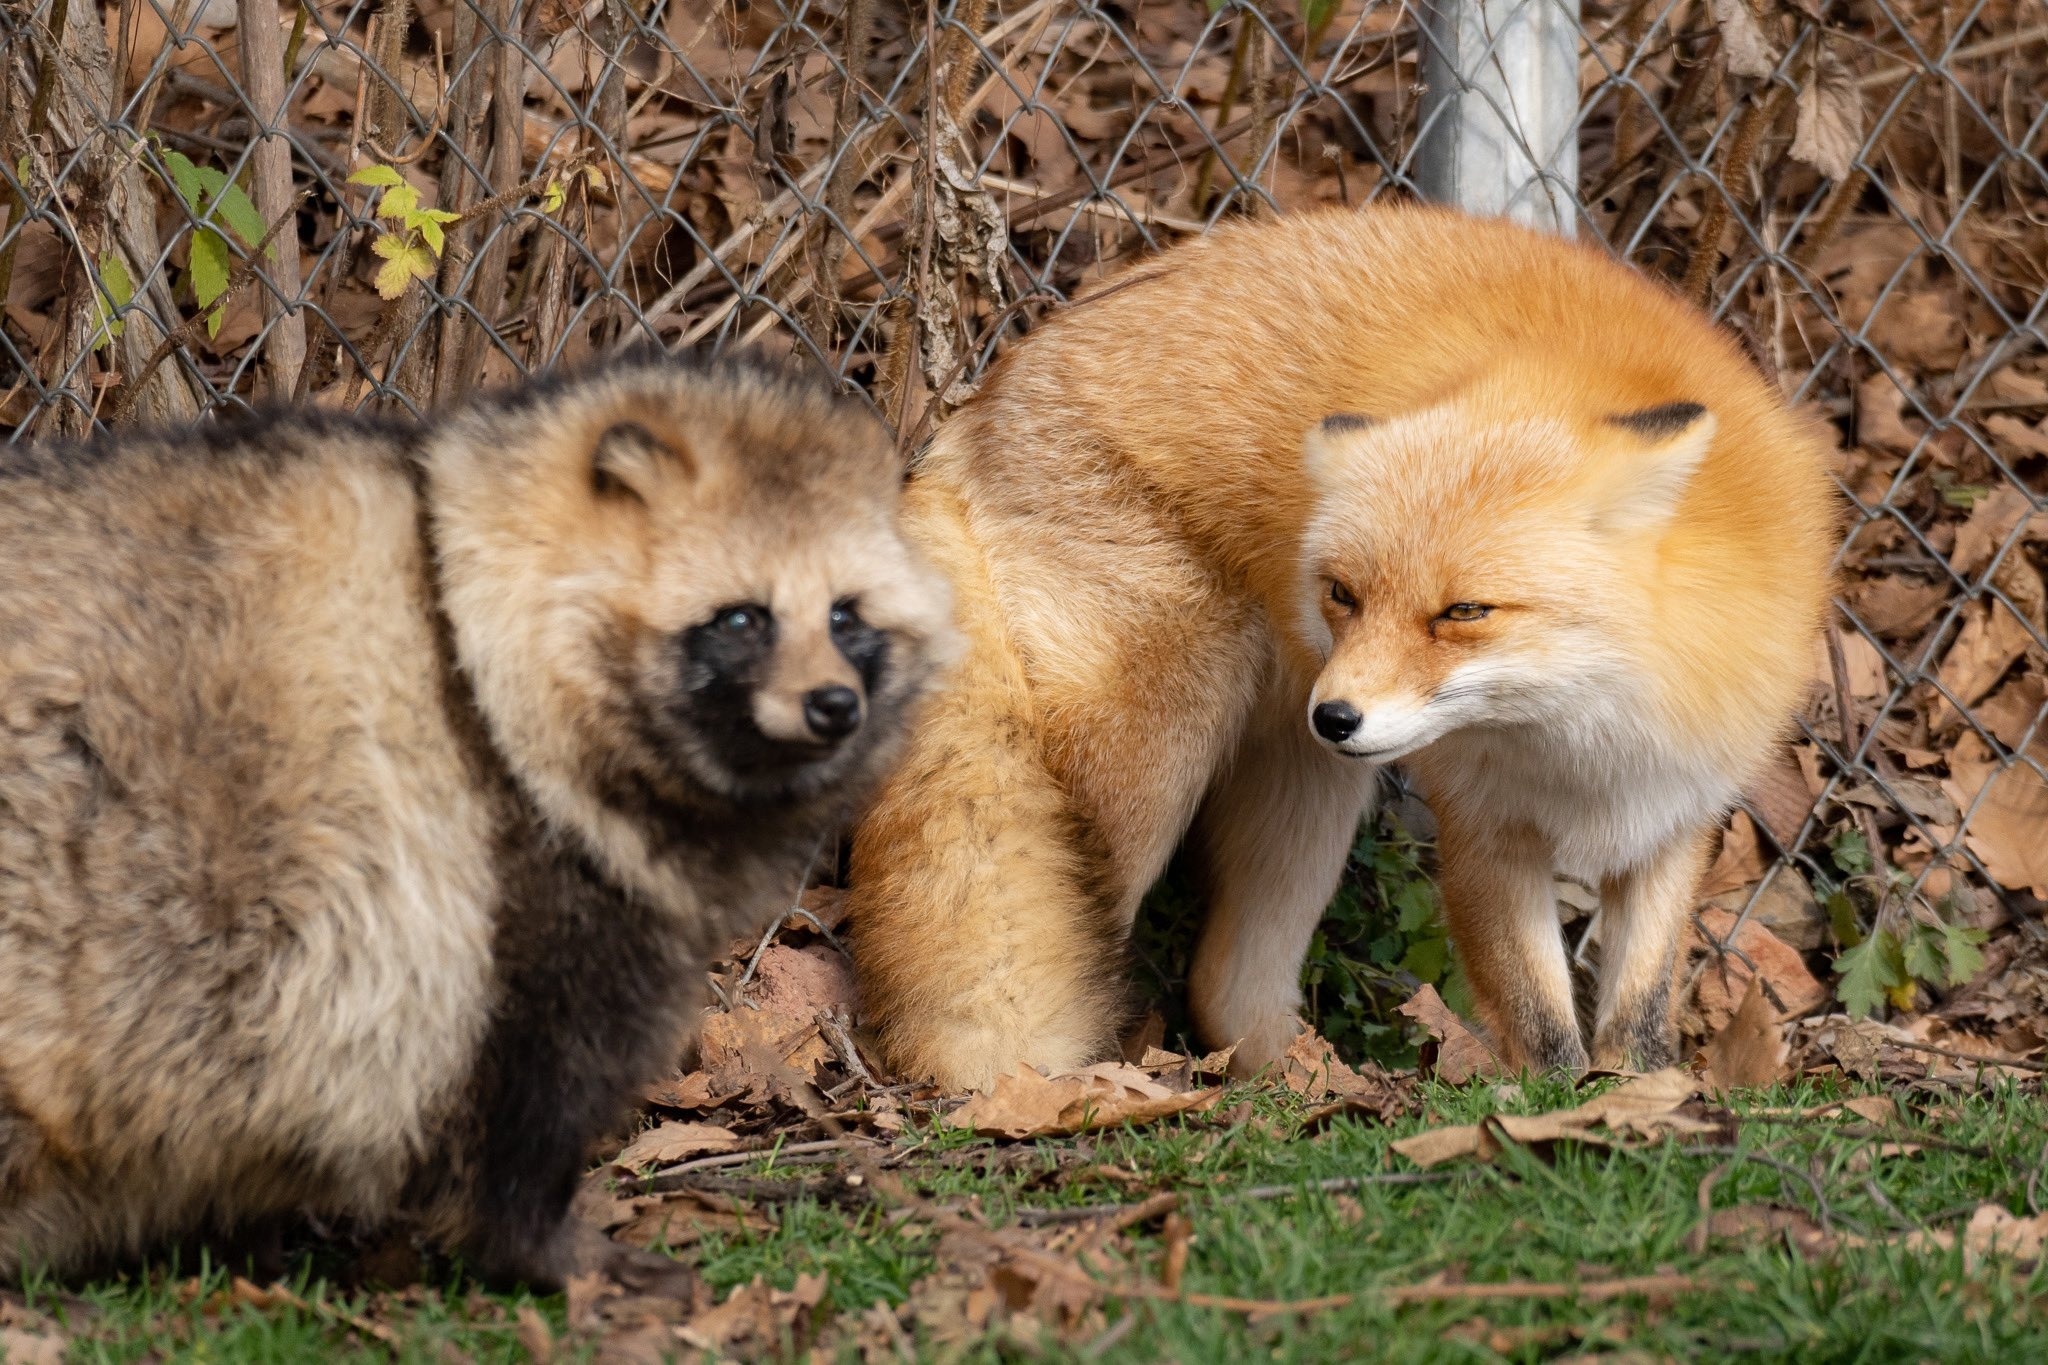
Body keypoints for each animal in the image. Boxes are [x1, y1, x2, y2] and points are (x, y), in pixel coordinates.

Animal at [0, 349, 954, 1285]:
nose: (834, 706)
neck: (462, 609)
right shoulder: (492, 892)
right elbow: (519, 1098)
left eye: (845, 614)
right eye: (743, 618)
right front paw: (546, 1248)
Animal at [847, 208, 1843, 1096]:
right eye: (1345, 594)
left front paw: (1644, 1098)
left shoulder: (1673, 816)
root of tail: (978, 404)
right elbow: (1541, 1025)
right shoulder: (1486, 832)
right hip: (1156, 767)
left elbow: (1638, 1016)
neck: (1587, 737)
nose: (1335, 714)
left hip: (1307, 799)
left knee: (1226, 984)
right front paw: (1571, 1113)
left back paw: (1309, 1086)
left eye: (1463, 612)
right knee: (1111, 932)